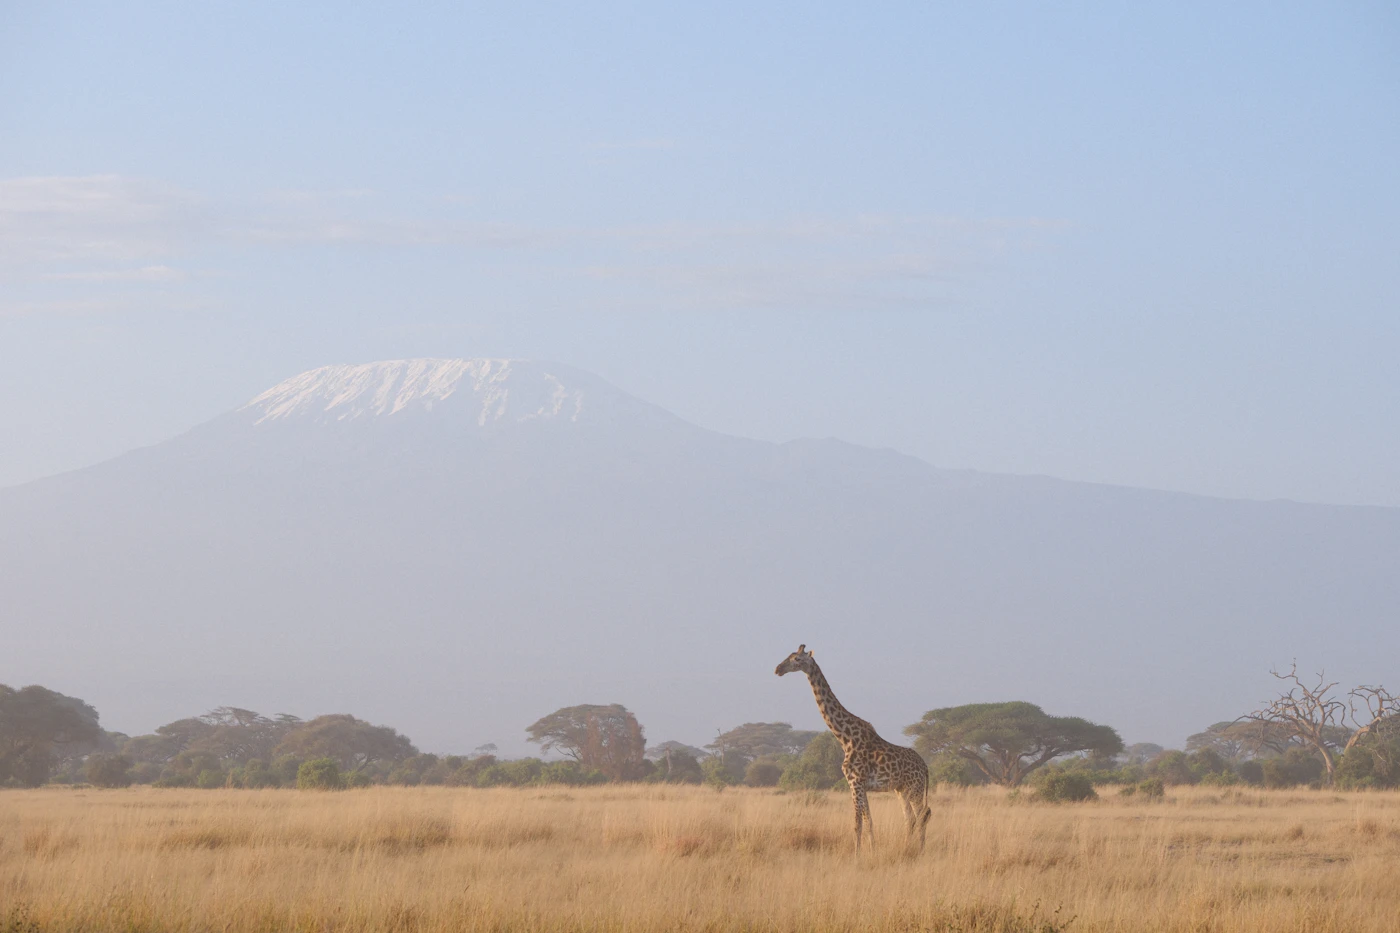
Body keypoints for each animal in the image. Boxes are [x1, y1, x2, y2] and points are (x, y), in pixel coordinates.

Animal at [775, 644, 931, 854]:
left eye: (797, 659)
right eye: (789, 656)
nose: (778, 669)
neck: (844, 737)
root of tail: (925, 767)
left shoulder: (854, 782)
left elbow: (857, 823)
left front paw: (856, 856)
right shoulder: (861, 785)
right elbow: (869, 821)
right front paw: (872, 851)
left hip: (915, 788)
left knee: (922, 816)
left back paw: (920, 851)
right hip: (902, 789)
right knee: (911, 818)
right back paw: (907, 848)